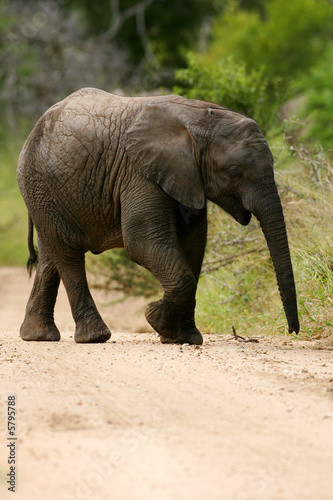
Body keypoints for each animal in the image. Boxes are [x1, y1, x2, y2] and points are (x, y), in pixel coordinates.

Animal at [16, 88, 300, 344]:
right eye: (234, 171)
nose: (293, 331)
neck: (199, 118)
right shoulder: (139, 172)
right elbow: (142, 242)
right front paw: (155, 319)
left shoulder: (187, 176)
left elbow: (194, 246)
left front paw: (183, 338)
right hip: (39, 183)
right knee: (68, 254)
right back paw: (95, 337)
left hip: (46, 192)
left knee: (51, 255)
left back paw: (38, 336)